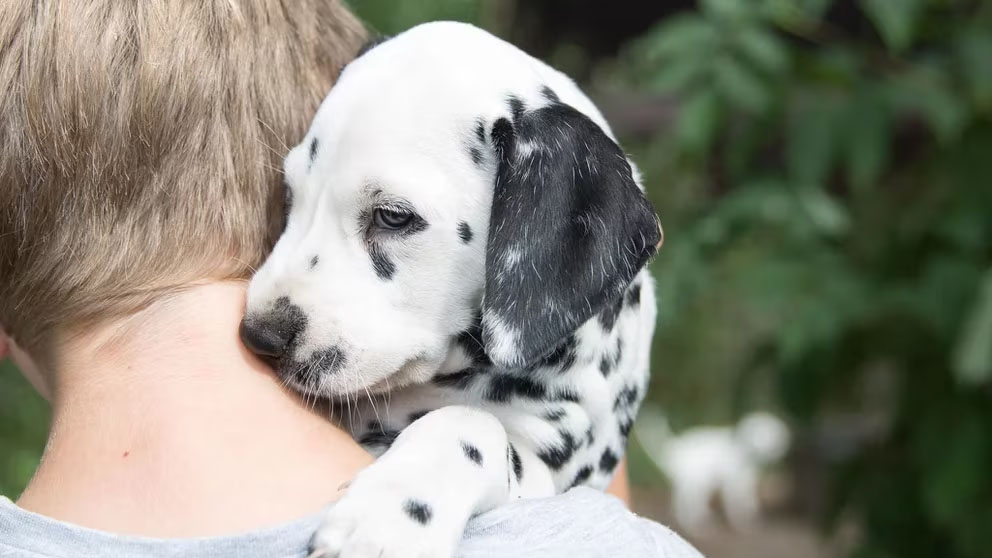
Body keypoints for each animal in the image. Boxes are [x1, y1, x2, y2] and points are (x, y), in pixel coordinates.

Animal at [237, 20, 664, 558]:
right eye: (292, 195)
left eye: (393, 216)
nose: (260, 335)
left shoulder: (546, 470)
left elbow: (471, 425)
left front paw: (389, 517)